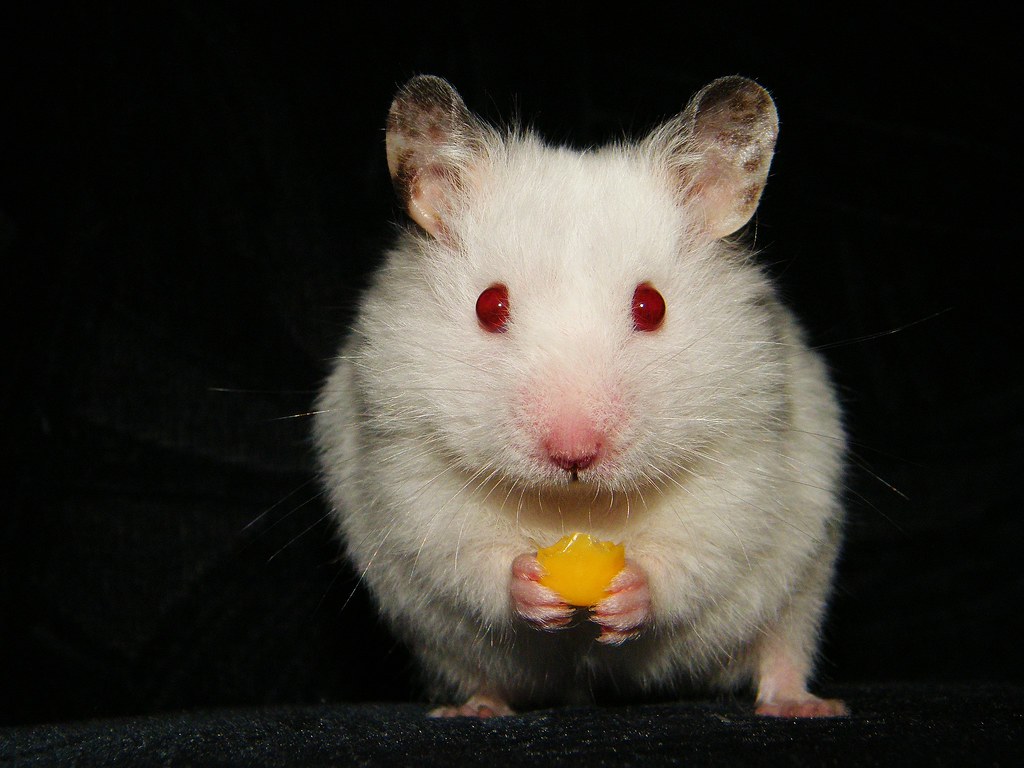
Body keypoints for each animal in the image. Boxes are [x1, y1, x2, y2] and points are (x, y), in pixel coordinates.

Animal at [313, 75, 848, 718]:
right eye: (489, 305)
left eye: (652, 305)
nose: (574, 454)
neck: (576, 505)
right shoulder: (400, 441)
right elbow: (460, 544)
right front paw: (530, 584)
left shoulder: (748, 438)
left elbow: (700, 544)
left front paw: (628, 592)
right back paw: (475, 707)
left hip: (804, 583)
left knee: (782, 646)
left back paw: (803, 704)